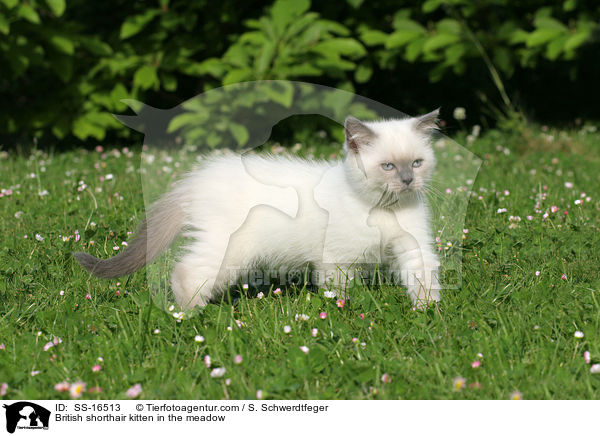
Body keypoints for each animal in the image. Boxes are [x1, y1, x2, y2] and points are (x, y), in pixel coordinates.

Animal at [75, 112, 440, 310]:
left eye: (416, 163)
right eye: (388, 166)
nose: (408, 180)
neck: (383, 208)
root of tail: (194, 180)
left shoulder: (414, 245)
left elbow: (423, 275)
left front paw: (426, 311)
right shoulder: (338, 257)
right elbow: (339, 291)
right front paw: (343, 311)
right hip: (232, 248)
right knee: (185, 273)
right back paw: (193, 316)